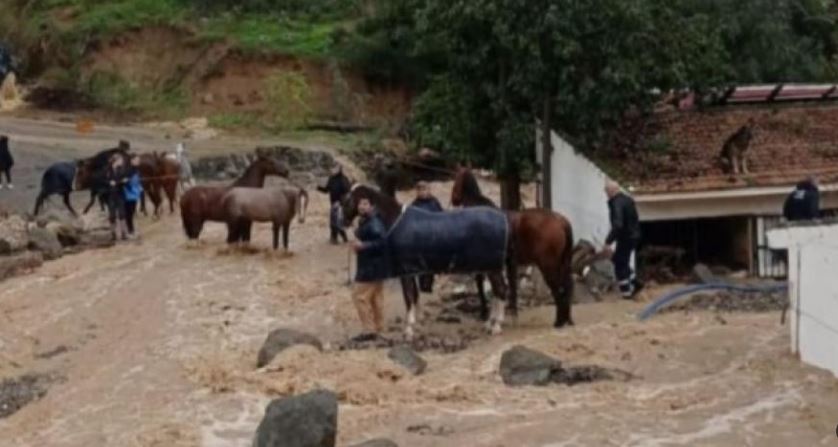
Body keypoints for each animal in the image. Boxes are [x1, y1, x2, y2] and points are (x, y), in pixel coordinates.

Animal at [342, 184, 512, 338]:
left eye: (348, 198)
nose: (343, 220)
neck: (396, 222)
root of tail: (503, 220)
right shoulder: (412, 271)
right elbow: (415, 295)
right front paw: (417, 324)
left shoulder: (405, 271)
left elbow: (408, 297)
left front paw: (409, 330)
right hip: (490, 267)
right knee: (497, 292)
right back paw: (489, 323)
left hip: (493, 268)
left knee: (501, 290)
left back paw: (496, 326)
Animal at [452, 166, 576, 328]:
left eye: (456, 177)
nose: (453, 199)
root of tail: (561, 221)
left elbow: (486, 287)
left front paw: (487, 316)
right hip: (562, 264)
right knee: (567, 287)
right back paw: (567, 319)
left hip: (548, 265)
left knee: (558, 289)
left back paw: (559, 322)